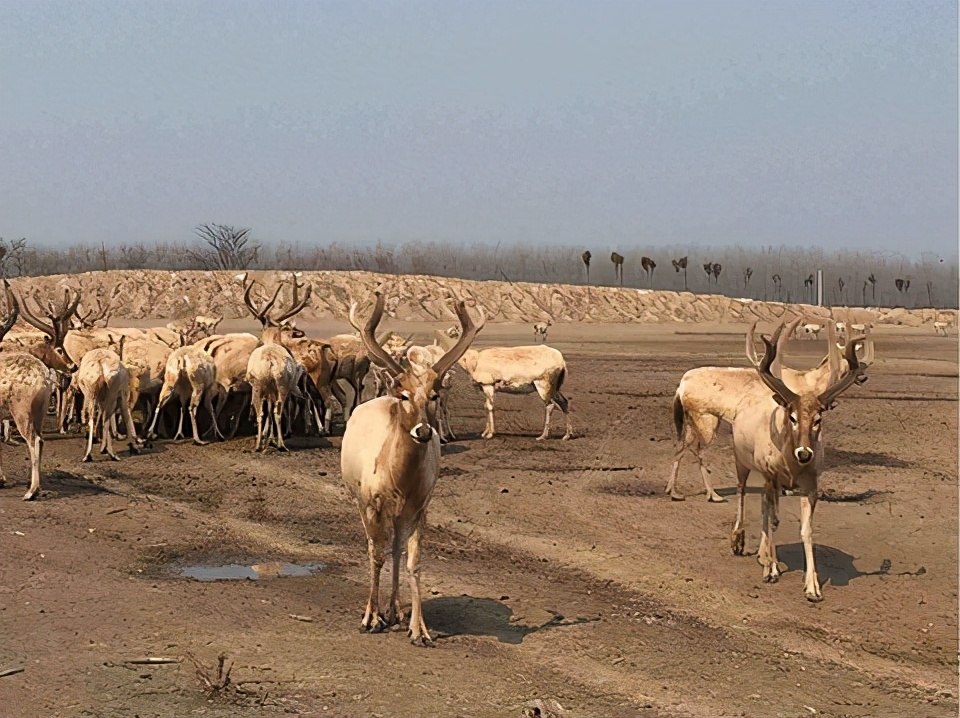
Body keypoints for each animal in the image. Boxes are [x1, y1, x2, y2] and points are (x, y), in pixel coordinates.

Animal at [342, 292, 484, 648]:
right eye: (404, 395)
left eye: (433, 395)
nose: (423, 431)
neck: (399, 479)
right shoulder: (371, 501)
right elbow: (376, 555)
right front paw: (370, 618)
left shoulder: (420, 506)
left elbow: (414, 562)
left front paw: (419, 629)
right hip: (359, 500)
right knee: (375, 547)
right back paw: (379, 612)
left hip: (400, 513)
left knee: (395, 547)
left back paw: (396, 610)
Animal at [728, 324, 872, 600]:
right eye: (792, 416)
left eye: (818, 419)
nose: (804, 453)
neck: (790, 465)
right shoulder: (771, 474)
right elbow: (772, 518)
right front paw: (772, 570)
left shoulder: (810, 484)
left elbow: (806, 530)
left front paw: (813, 586)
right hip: (742, 460)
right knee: (742, 492)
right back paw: (739, 541)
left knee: (764, 506)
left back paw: (762, 554)